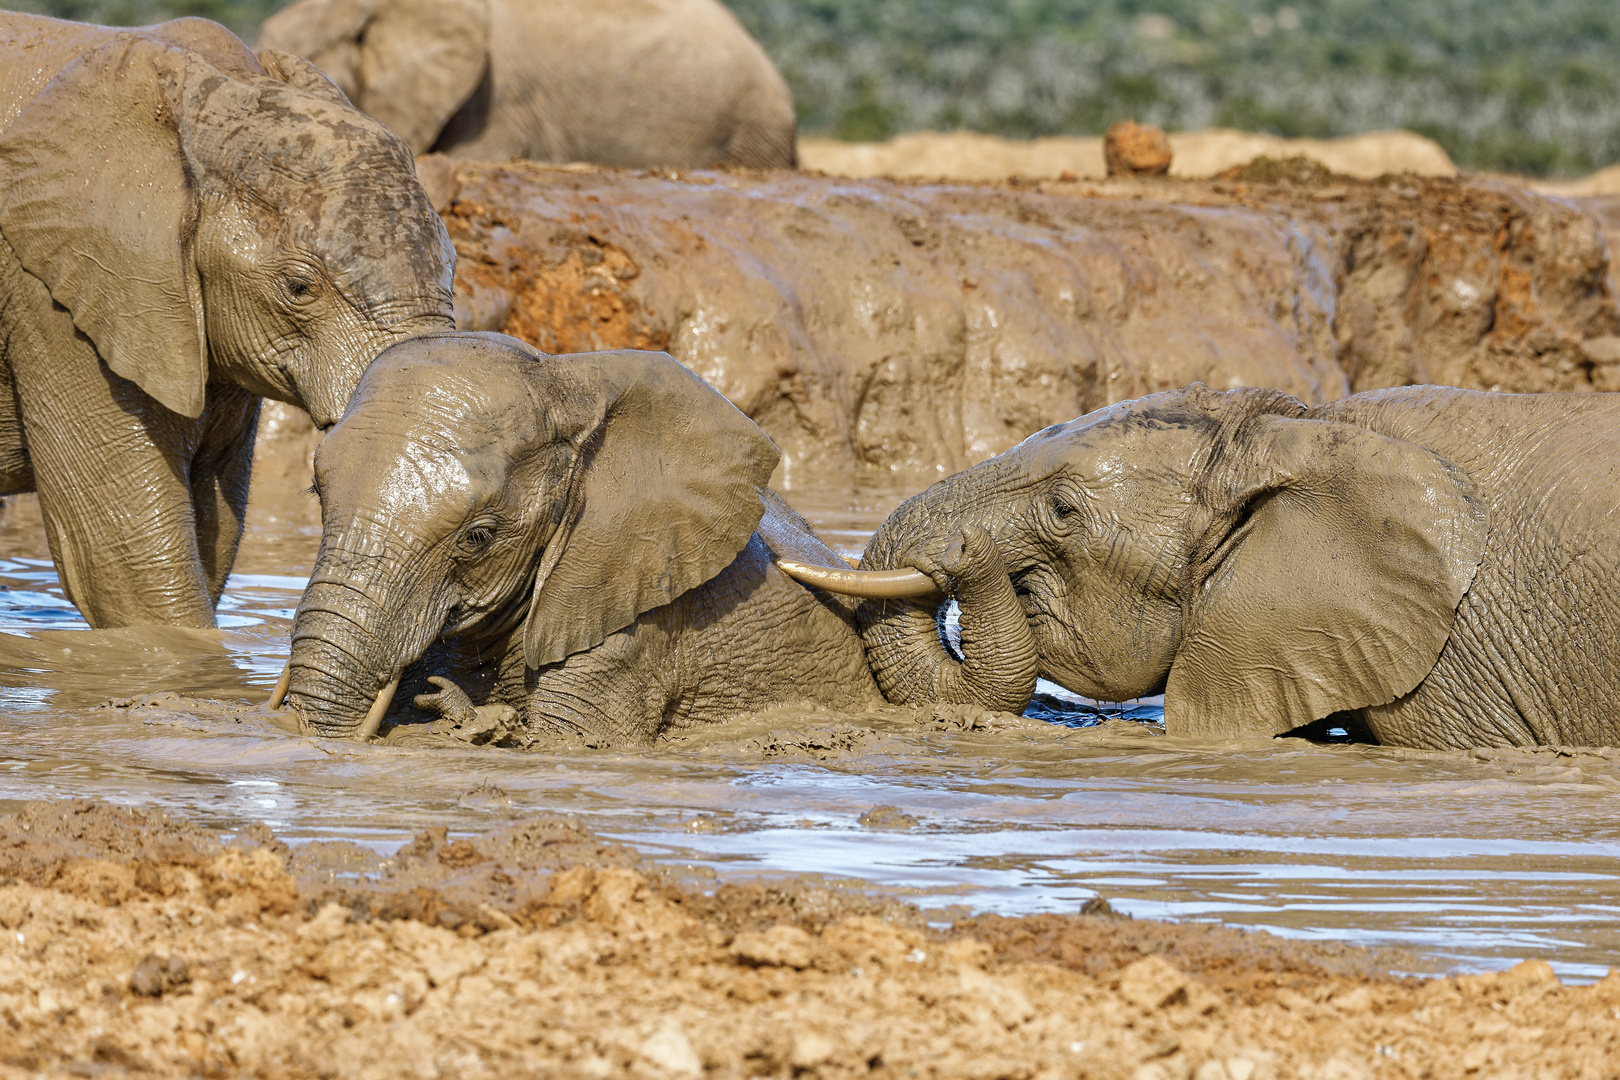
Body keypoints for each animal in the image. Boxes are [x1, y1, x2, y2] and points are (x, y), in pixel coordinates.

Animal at [281, 333, 887, 748]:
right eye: (315, 493)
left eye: (478, 537)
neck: (567, 379)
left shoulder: (634, 614)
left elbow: (572, 742)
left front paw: (454, 706)